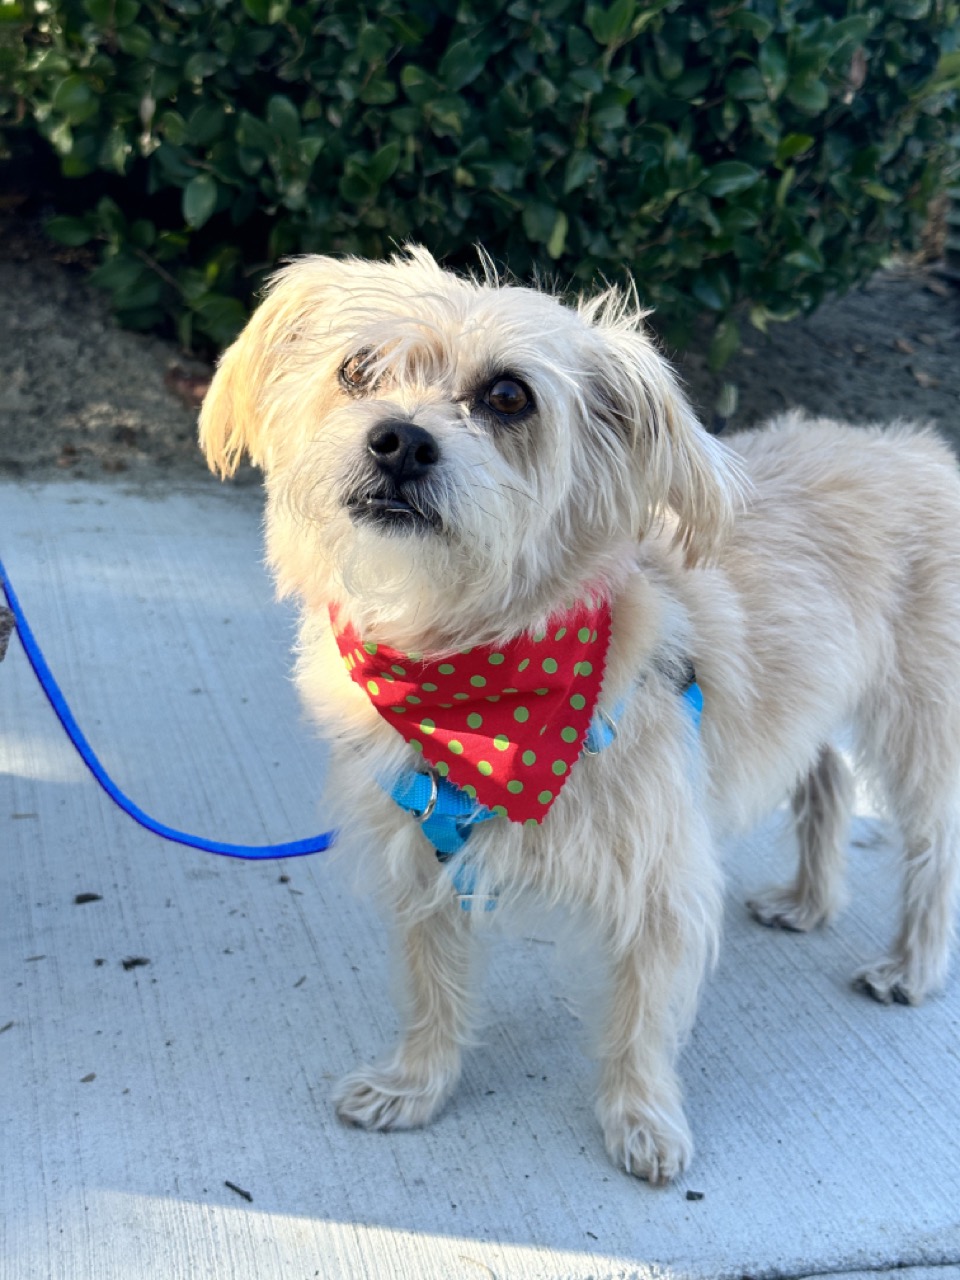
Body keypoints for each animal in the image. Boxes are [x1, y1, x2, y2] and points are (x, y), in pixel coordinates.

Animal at [197, 244, 960, 1182]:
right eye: (357, 368)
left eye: (508, 396)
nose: (400, 440)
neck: (475, 675)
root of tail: (913, 445)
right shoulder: (422, 861)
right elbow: (430, 985)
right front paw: (417, 1084)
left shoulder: (663, 883)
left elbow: (642, 1021)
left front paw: (642, 1120)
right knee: (823, 780)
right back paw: (810, 899)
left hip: (918, 722)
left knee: (932, 845)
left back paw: (911, 964)